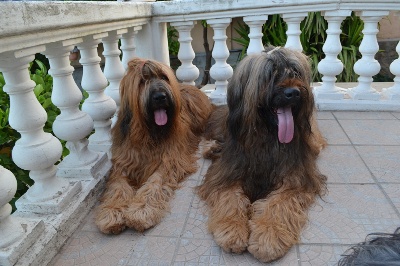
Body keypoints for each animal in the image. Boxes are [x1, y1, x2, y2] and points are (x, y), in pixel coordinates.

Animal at [95, 57, 214, 233]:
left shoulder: (169, 161)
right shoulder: (123, 163)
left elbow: (154, 183)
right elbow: (118, 187)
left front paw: (141, 211)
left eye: (164, 77)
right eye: (142, 81)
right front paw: (113, 212)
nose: (160, 97)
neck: (148, 134)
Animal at [198, 46, 326, 262]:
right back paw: (212, 148)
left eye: (295, 72)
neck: (268, 137)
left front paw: (269, 237)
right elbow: (231, 197)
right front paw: (232, 229)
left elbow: (278, 204)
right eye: (270, 74)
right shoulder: (226, 172)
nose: (294, 93)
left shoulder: (295, 178)